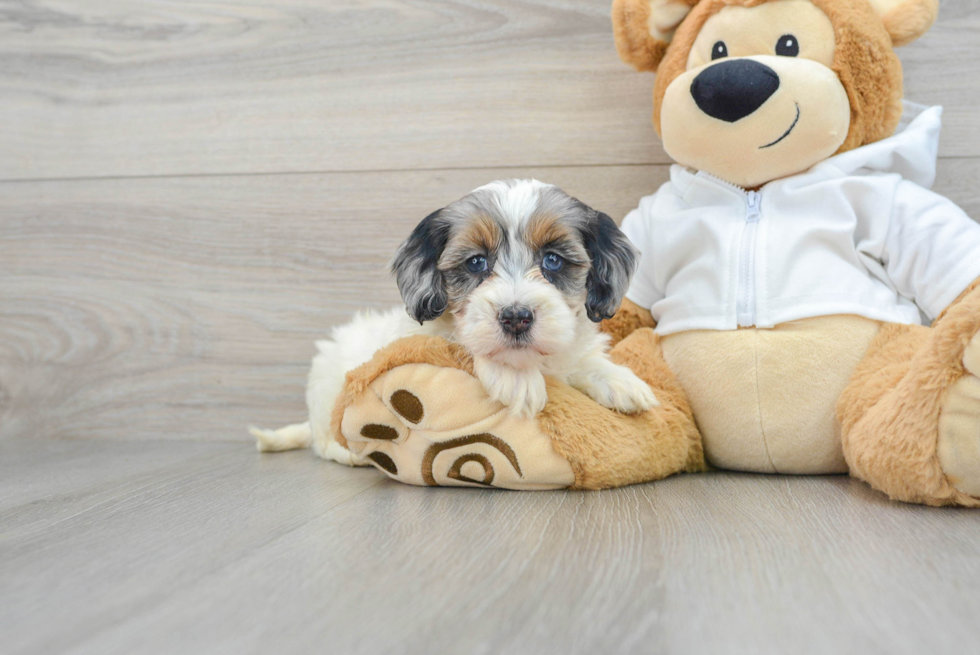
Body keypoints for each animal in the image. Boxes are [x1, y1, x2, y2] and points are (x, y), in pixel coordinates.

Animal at [253, 179, 660, 464]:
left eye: (553, 260)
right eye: (476, 262)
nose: (515, 317)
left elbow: (580, 359)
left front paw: (617, 379)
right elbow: (462, 341)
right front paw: (515, 379)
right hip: (327, 386)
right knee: (325, 438)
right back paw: (348, 453)